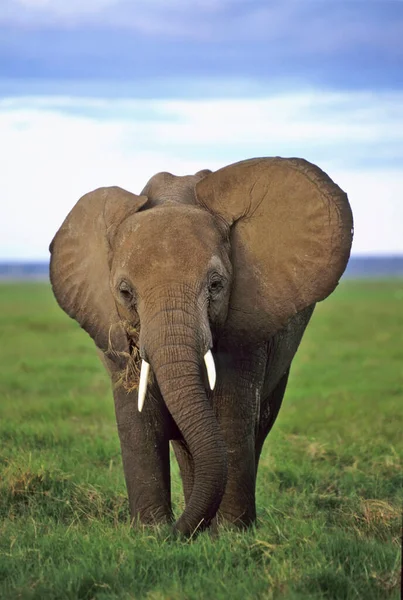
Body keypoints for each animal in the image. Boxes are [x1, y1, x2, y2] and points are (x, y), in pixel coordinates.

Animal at [49, 157, 354, 536]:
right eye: (124, 292)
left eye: (216, 284)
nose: (176, 532)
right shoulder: (112, 328)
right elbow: (137, 417)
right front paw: (150, 533)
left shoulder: (247, 325)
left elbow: (230, 410)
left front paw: (231, 535)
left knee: (258, 424)